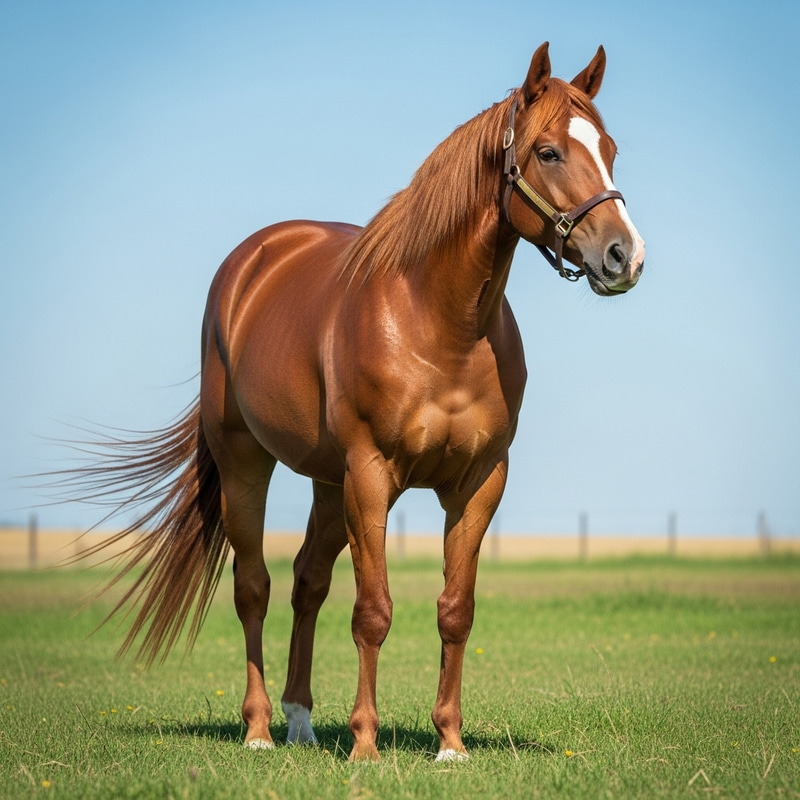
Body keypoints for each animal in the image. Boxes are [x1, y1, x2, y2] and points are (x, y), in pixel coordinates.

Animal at [65, 42, 645, 762]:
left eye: (610, 148)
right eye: (548, 152)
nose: (624, 256)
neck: (440, 324)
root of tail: (252, 262)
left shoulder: (479, 482)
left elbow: (455, 610)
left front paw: (450, 743)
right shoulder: (371, 476)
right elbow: (373, 612)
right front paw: (367, 745)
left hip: (327, 482)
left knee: (307, 582)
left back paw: (301, 721)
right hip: (248, 464)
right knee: (254, 588)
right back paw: (260, 730)